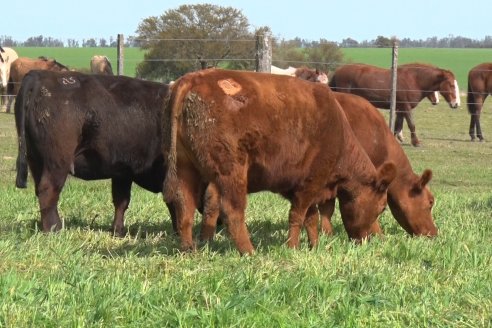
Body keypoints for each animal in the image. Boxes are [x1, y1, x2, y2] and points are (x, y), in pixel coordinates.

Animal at [14, 69, 171, 234]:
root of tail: (38, 75)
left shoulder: (122, 172)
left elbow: (121, 201)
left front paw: (118, 231)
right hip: (57, 162)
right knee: (48, 190)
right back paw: (55, 229)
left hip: (35, 160)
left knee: (41, 191)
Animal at [163, 68, 398, 255]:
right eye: (382, 208)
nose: (369, 240)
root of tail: (193, 78)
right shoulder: (309, 184)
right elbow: (297, 216)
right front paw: (293, 247)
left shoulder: (301, 188)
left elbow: (311, 218)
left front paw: (314, 246)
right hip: (231, 173)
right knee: (232, 211)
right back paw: (249, 252)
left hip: (186, 168)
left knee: (185, 206)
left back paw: (188, 250)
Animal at [328, 62, 460, 146]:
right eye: (451, 85)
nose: (456, 104)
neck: (413, 80)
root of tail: (337, 71)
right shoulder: (406, 107)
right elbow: (411, 124)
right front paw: (416, 142)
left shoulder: (400, 108)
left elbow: (398, 125)